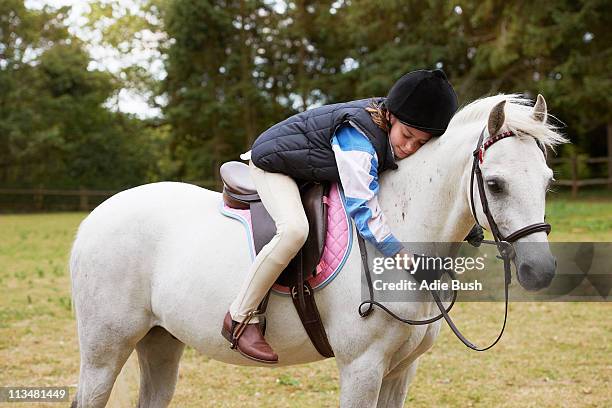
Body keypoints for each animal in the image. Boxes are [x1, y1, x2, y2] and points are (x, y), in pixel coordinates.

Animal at [71, 94, 568, 406]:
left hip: (160, 341)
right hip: (104, 351)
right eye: (495, 184)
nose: (541, 271)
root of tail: (95, 217)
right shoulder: (362, 368)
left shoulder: (400, 371)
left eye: (547, 181)